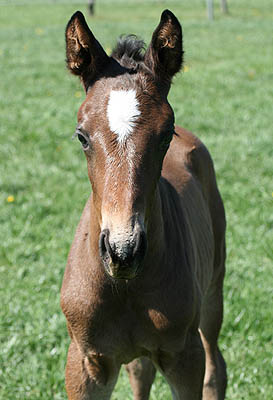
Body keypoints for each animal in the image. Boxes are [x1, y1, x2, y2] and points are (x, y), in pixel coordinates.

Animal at [60, 9, 226, 400]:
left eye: (165, 134)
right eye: (81, 136)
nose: (123, 251)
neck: (125, 287)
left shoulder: (184, 357)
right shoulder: (85, 362)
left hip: (214, 291)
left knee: (216, 367)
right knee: (140, 370)